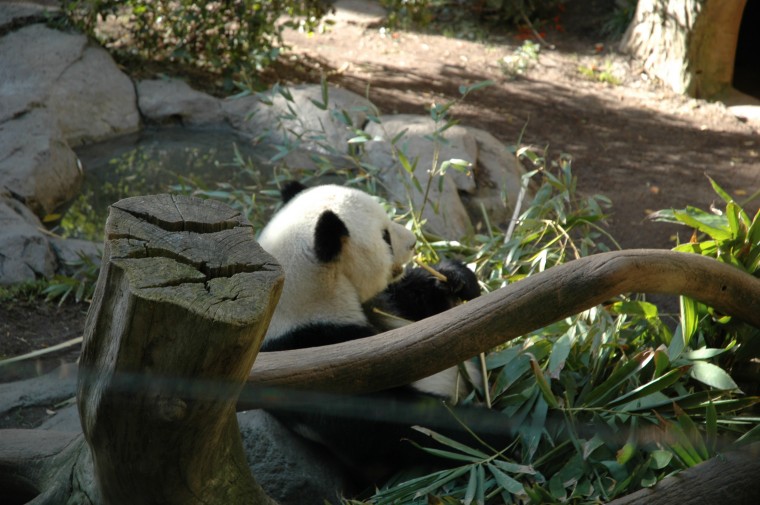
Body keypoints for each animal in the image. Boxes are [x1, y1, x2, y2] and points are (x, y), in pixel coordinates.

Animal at [257, 182, 482, 480]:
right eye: (385, 237)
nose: (413, 241)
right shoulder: (313, 358)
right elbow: (389, 425)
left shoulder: (380, 306)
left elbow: (411, 301)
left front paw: (454, 278)